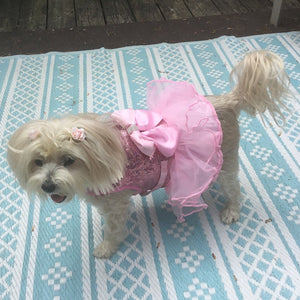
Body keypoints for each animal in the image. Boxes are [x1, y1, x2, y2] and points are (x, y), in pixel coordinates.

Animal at [6, 49, 288, 258]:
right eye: (37, 162)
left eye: (69, 160)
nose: (47, 186)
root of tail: (227, 101)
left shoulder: (116, 205)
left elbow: (114, 230)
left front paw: (107, 248)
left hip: (226, 162)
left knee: (234, 188)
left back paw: (231, 210)